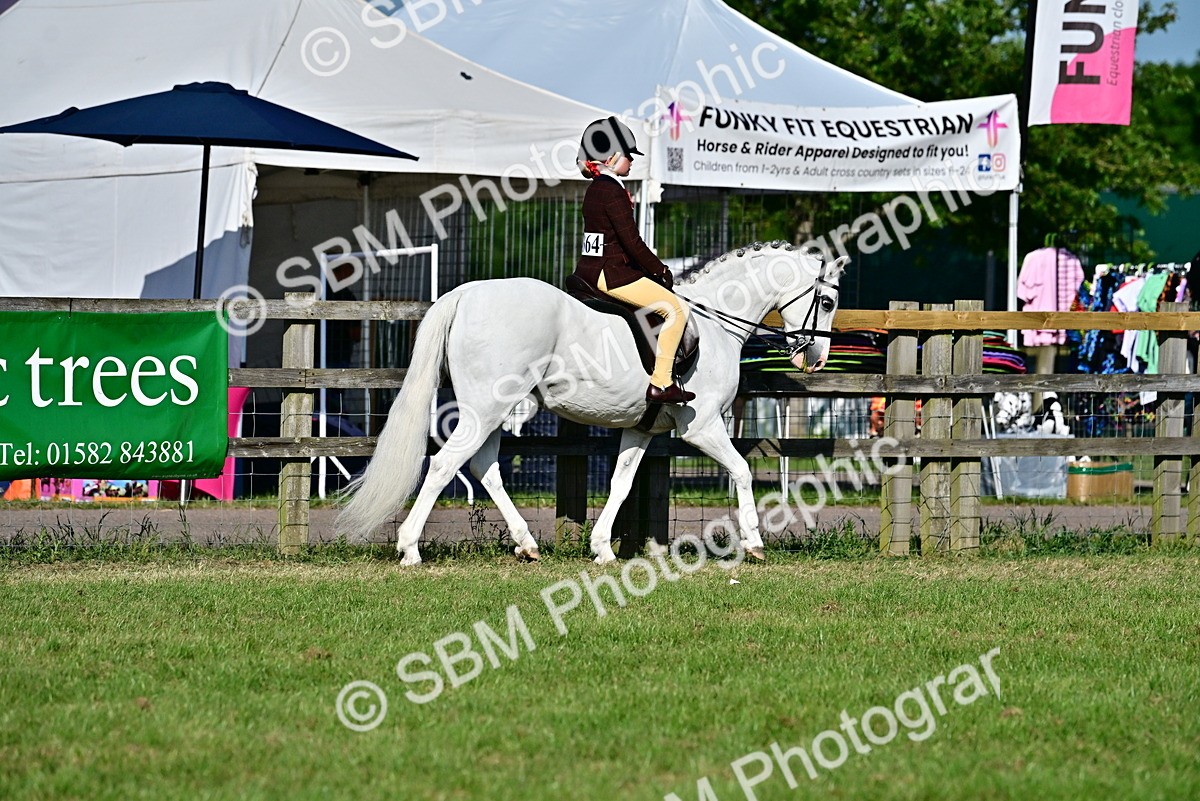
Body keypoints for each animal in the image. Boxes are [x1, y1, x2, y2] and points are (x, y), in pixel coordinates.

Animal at [336, 242, 847, 565]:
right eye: (826, 301)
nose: (817, 358)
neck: (714, 320)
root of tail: (466, 292)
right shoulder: (700, 427)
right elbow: (741, 470)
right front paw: (755, 542)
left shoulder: (641, 428)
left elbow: (621, 483)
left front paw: (602, 548)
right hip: (485, 410)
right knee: (445, 465)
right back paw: (410, 549)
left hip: (493, 413)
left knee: (484, 468)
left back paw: (527, 545)